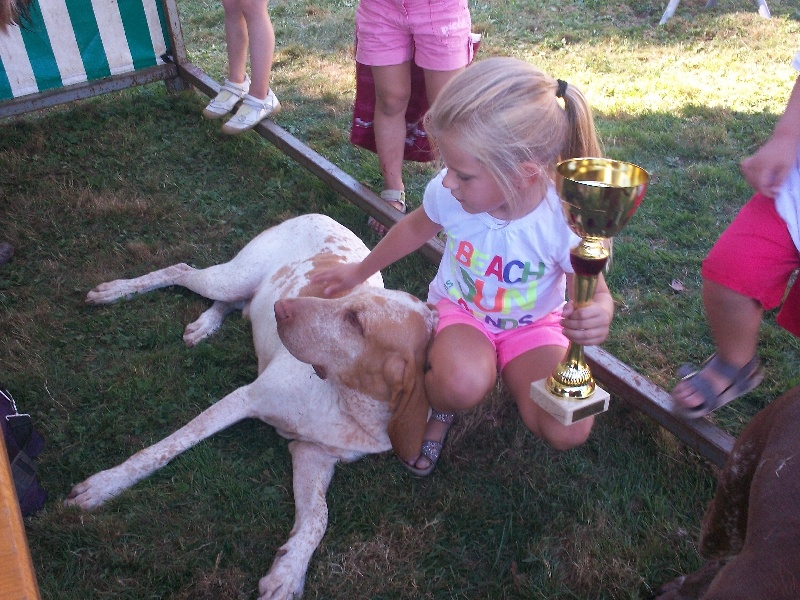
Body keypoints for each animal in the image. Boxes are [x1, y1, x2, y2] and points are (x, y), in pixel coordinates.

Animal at [64, 214, 438, 600]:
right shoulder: (244, 398)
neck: (347, 404)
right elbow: (164, 448)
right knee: (182, 270)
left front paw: (289, 571)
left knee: (235, 302)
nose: (282, 309)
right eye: (352, 303)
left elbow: (319, 517)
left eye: (356, 321)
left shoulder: (313, 454)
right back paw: (117, 291)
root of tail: (320, 215)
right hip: (228, 279)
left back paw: (206, 324)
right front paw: (107, 484)